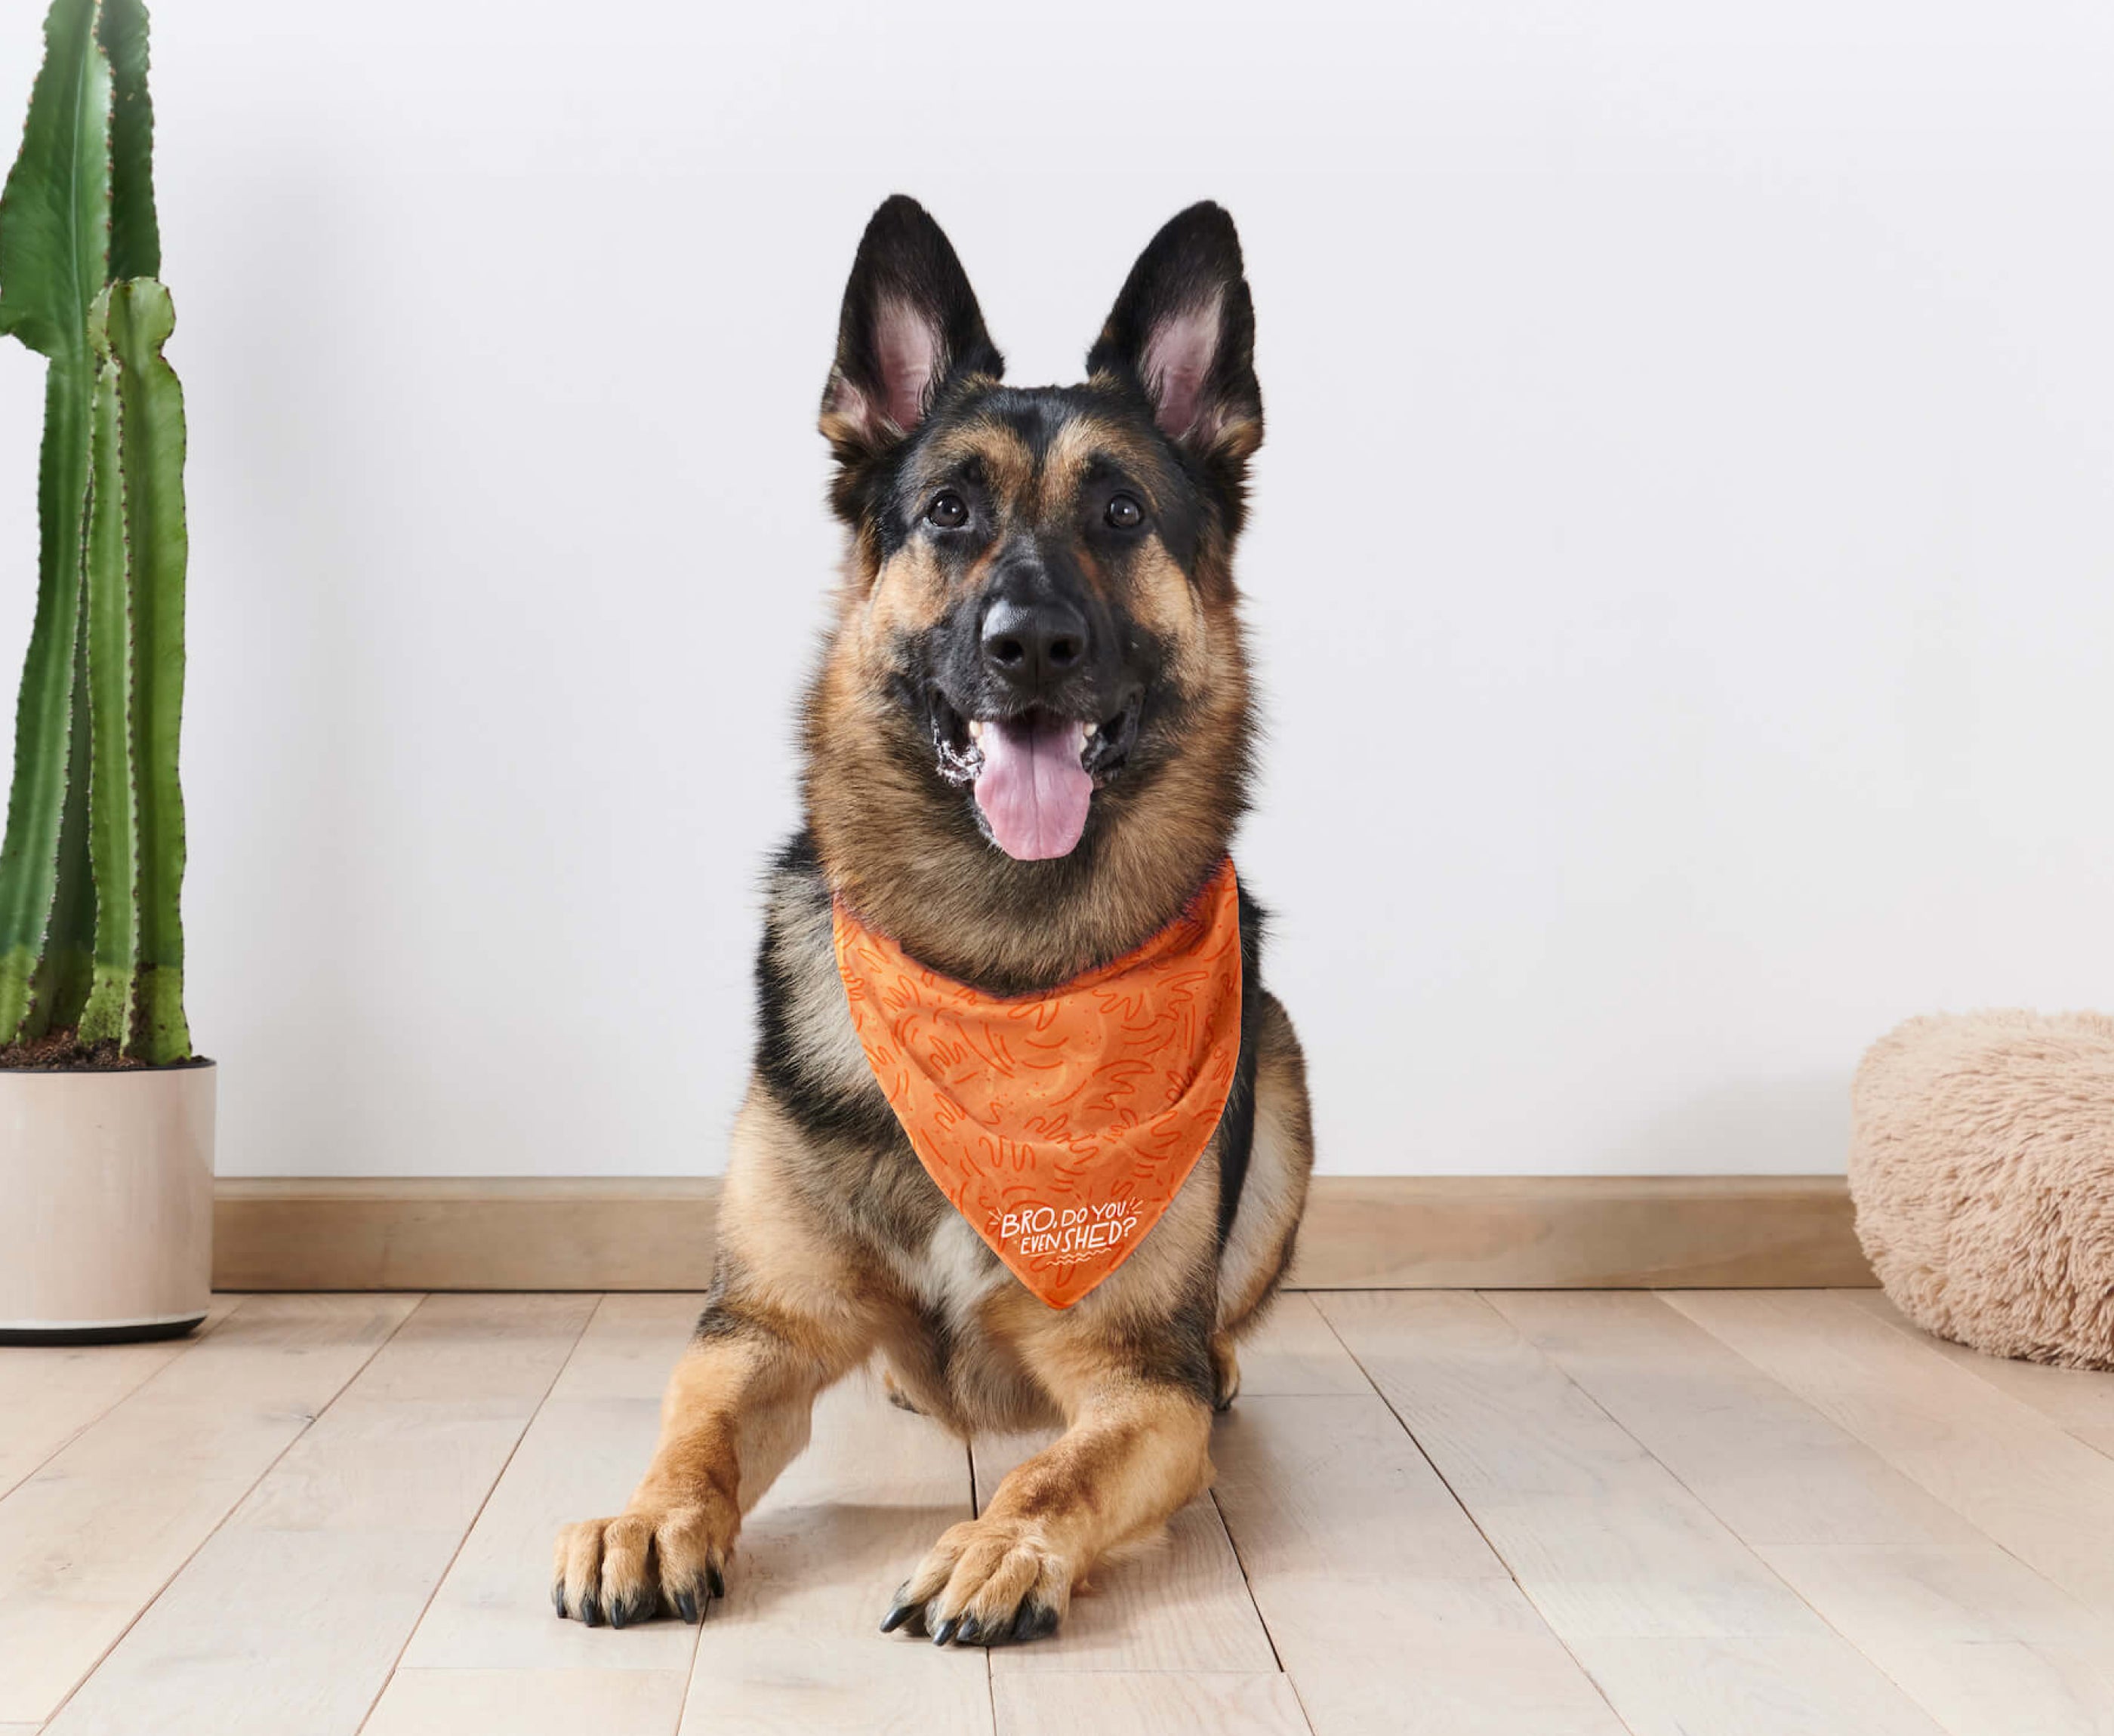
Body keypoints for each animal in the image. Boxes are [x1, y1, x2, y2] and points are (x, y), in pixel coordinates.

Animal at [553, 196, 1311, 1649]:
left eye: (1121, 512)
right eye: (949, 511)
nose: (1032, 644)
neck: (1001, 978)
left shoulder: (1139, 1386)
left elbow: (1058, 1469)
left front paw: (997, 1548)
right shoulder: (762, 1329)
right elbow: (692, 1433)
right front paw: (644, 1516)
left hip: (1287, 1075)